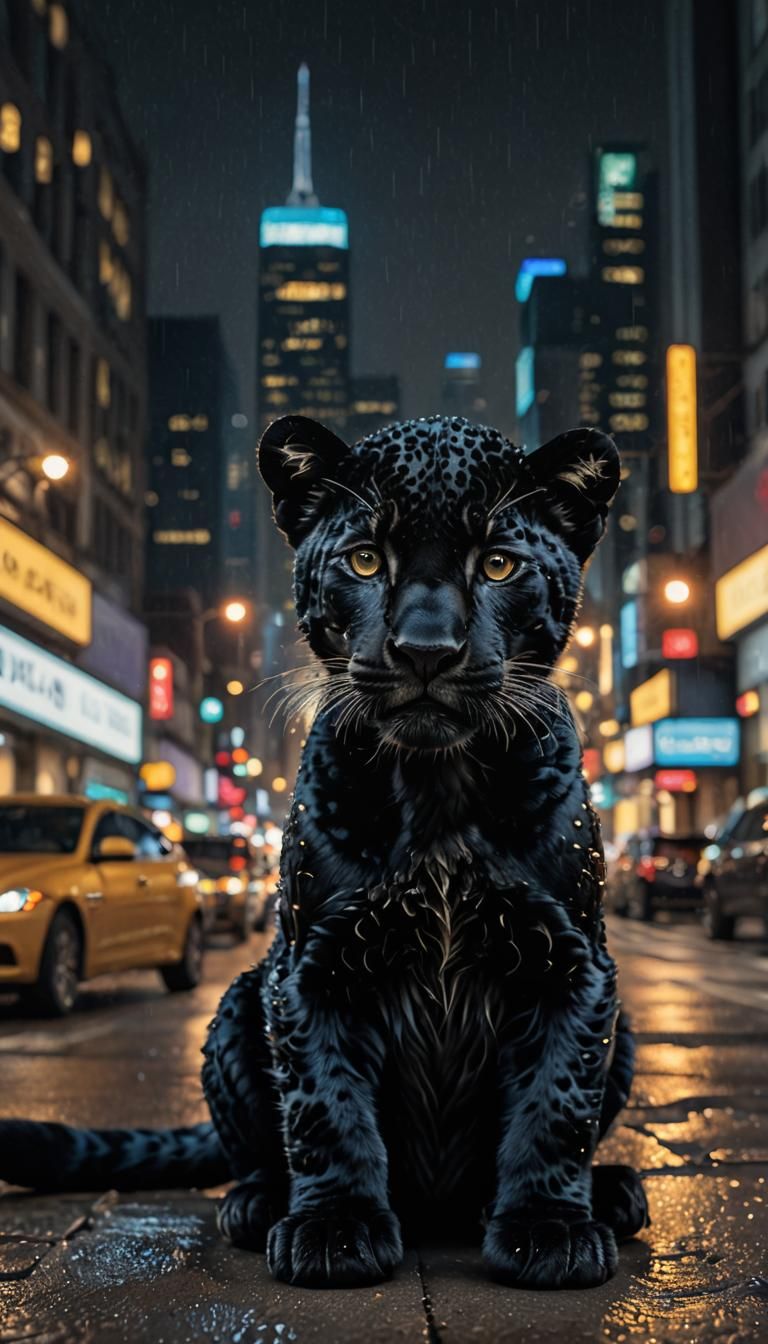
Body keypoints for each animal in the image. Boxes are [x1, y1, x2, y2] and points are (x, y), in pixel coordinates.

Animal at [0, 413, 648, 1290]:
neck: (436, 790)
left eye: (499, 563)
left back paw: (610, 1195)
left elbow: (558, 1105)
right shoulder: (313, 968)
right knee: (256, 1148)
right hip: (238, 1001)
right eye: (365, 559)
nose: (425, 648)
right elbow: (323, 1107)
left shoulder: (573, 965)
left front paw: (548, 1229)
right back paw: (256, 1204)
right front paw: (337, 1230)